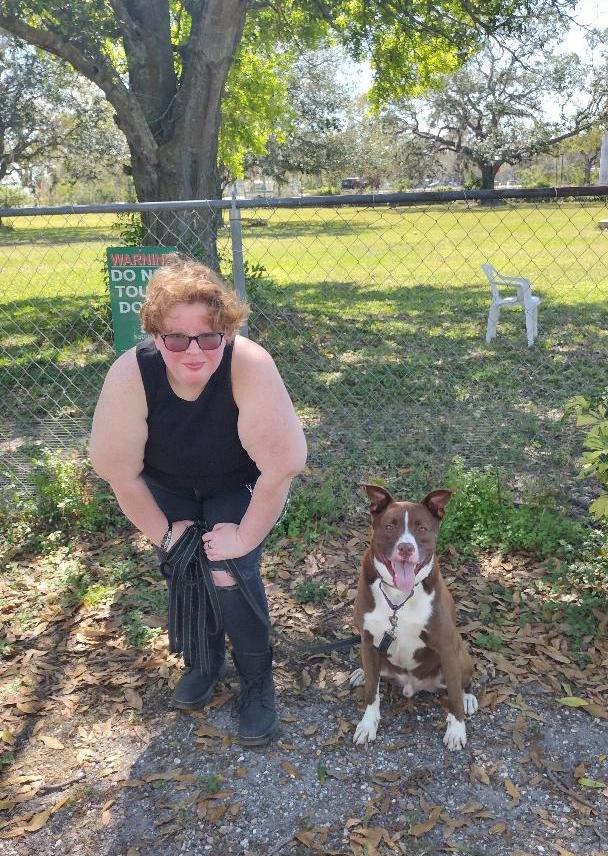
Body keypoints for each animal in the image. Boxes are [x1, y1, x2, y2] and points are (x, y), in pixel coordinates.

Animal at [350, 484, 478, 752]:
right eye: (390, 526)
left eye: (421, 528)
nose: (406, 548)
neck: (400, 598)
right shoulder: (369, 640)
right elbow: (372, 692)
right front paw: (368, 724)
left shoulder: (447, 647)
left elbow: (454, 697)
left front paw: (457, 730)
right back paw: (360, 672)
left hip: (460, 656)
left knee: (461, 684)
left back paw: (469, 698)